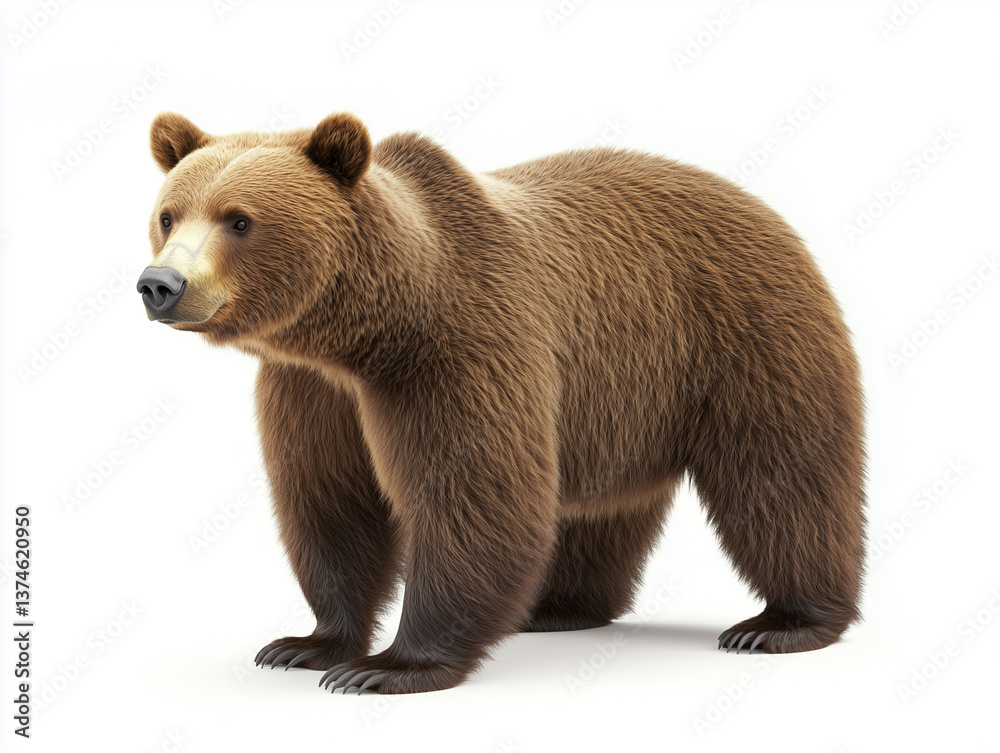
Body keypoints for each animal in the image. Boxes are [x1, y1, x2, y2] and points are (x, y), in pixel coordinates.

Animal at [138, 111, 866, 694]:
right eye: (168, 214)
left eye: (240, 220)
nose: (161, 284)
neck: (365, 335)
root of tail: (759, 204)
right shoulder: (313, 391)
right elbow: (330, 502)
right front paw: (306, 644)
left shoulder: (460, 350)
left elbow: (473, 497)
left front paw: (390, 666)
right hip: (616, 400)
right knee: (594, 506)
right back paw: (559, 606)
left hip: (744, 336)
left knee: (783, 475)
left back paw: (783, 623)